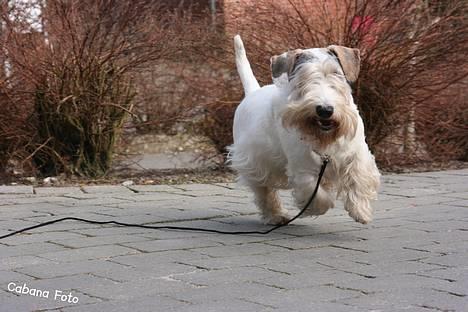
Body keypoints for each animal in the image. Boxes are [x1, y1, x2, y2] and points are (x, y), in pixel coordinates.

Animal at [229, 36, 382, 224]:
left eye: (336, 74)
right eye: (302, 79)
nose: (325, 110)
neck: (324, 137)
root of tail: (252, 92)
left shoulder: (357, 154)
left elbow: (359, 178)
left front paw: (361, 211)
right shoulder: (302, 168)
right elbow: (315, 193)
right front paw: (314, 207)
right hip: (254, 162)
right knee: (264, 192)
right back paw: (277, 215)